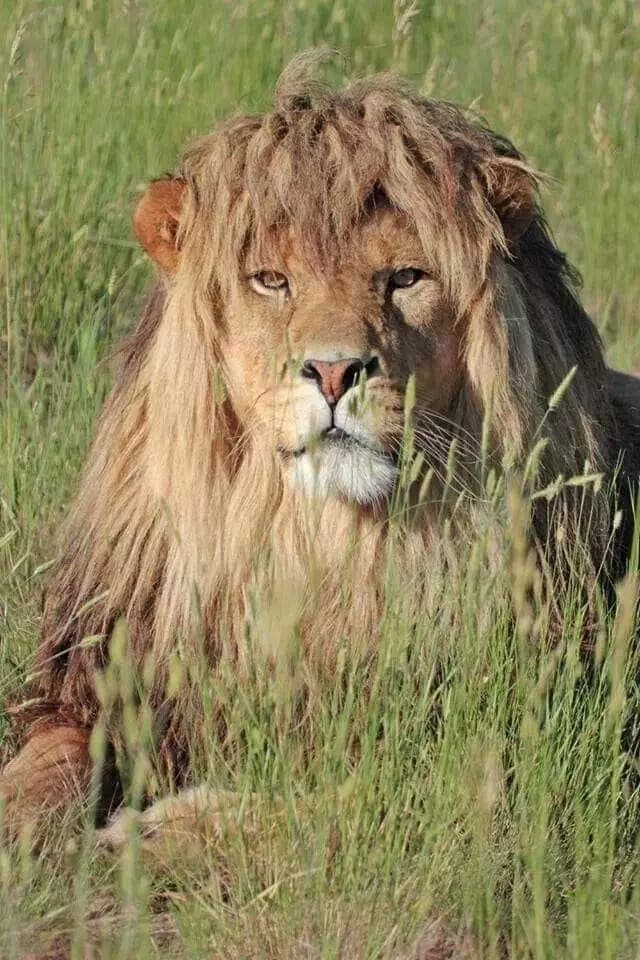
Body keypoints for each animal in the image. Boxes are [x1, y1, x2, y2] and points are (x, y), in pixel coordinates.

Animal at [2, 56, 640, 836]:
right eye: (272, 280)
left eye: (406, 278)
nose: (335, 371)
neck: (314, 541)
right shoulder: (94, 685)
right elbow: (44, 765)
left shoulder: (470, 758)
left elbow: (283, 813)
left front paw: (137, 838)